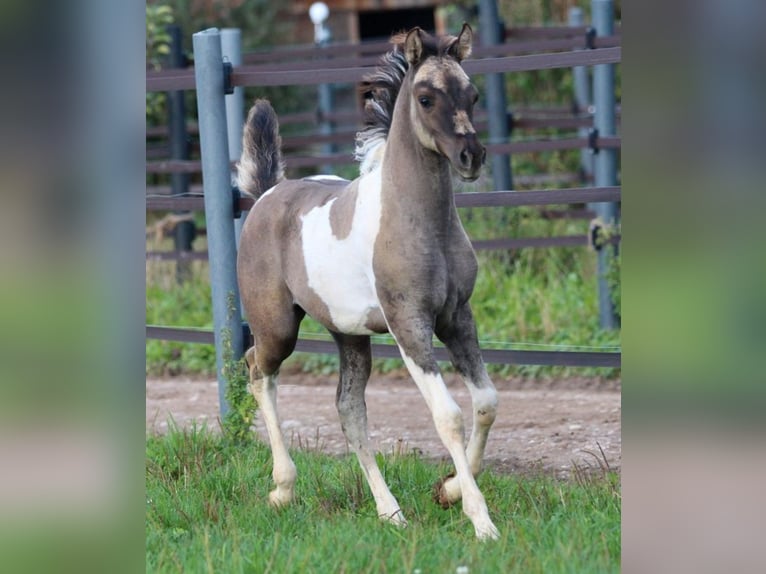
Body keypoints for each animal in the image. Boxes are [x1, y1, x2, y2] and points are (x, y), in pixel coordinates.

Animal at [240, 25, 504, 540]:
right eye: (425, 97)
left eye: (473, 95)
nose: (472, 156)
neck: (419, 222)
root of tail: (266, 195)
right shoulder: (409, 324)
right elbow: (448, 415)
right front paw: (481, 522)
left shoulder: (457, 317)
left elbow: (485, 402)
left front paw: (448, 490)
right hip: (277, 328)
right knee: (258, 371)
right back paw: (282, 488)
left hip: (349, 335)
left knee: (349, 410)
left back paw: (391, 512)